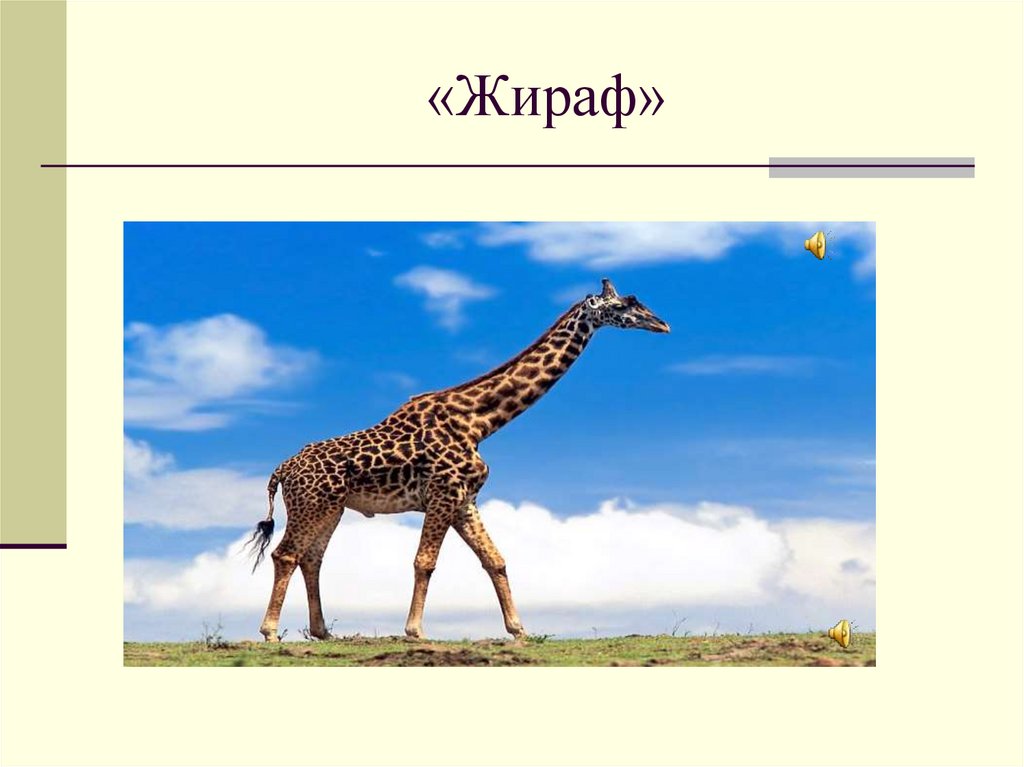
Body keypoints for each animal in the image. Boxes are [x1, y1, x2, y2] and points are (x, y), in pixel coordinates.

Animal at [247, 278, 670, 641]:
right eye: (625, 304)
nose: (662, 324)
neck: (481, 422)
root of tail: (280, 470)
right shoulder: (443, 493)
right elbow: (425, 561)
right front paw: (415, 631)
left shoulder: (465, 499)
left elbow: (495, 559)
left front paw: (519, 630)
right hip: (312, 503)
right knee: (286, 554)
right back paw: (269, 632)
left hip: (331, 507)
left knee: (311, 558)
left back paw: (322, 632)